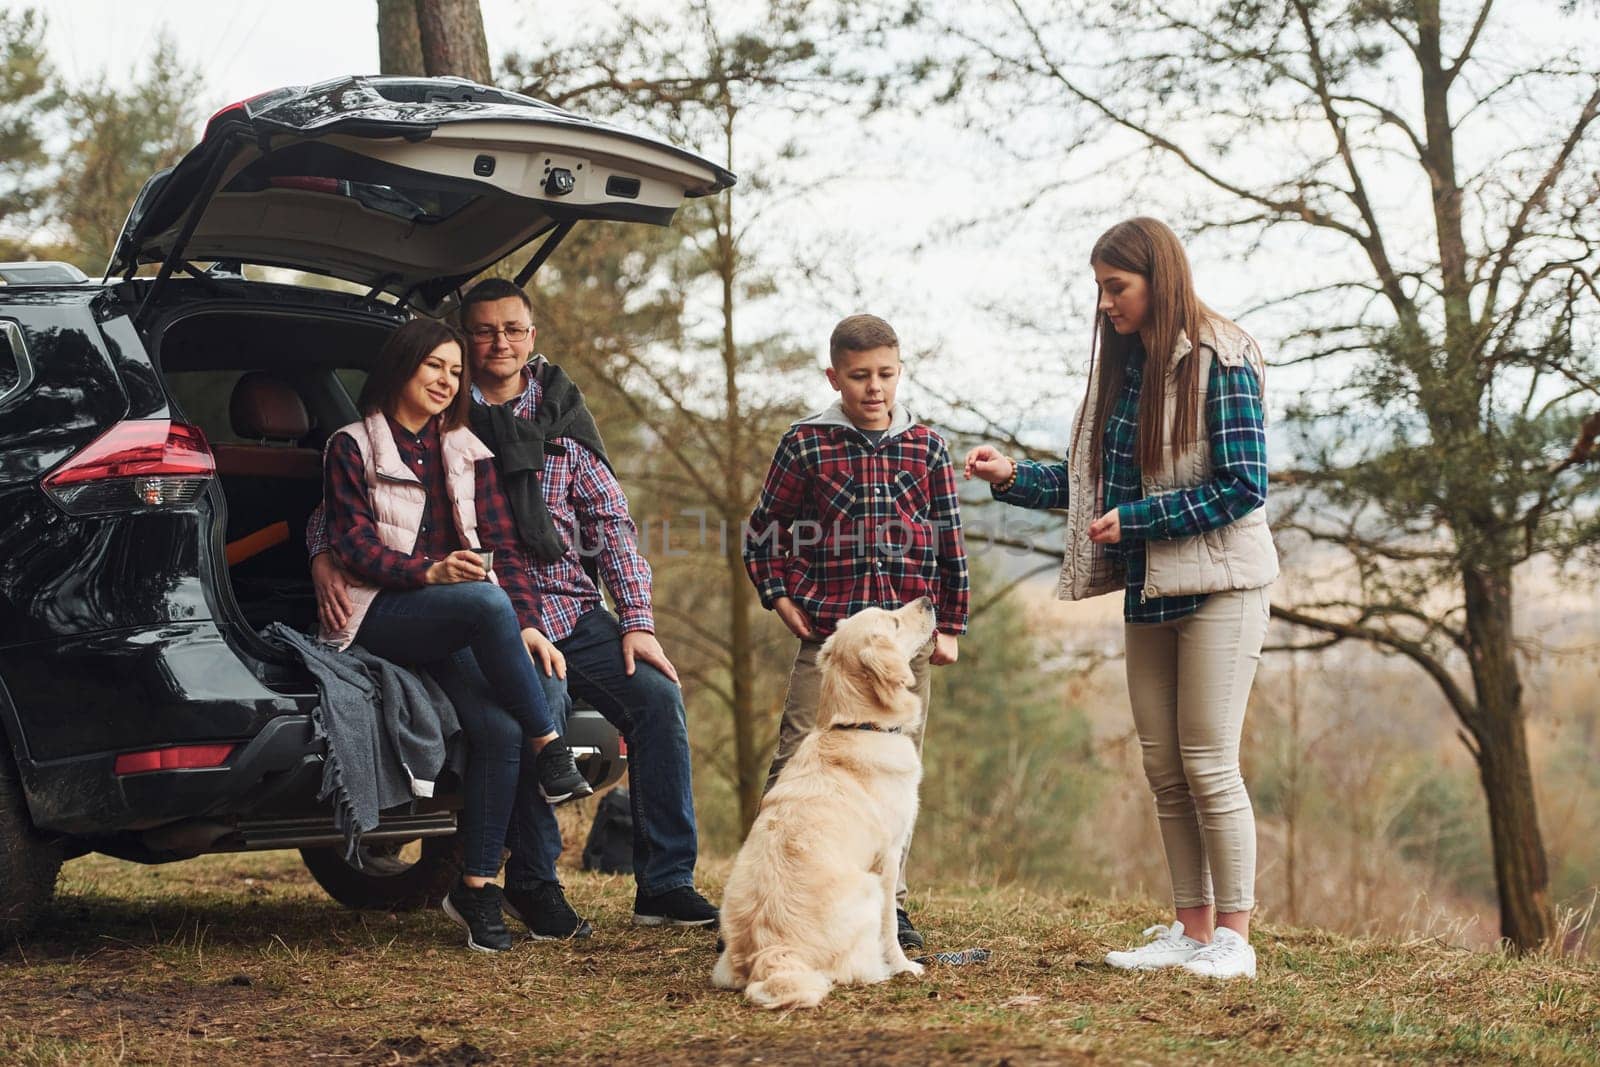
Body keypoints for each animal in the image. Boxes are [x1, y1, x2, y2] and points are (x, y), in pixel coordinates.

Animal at [713, 601, 934, 1011]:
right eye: (894, 621)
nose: (928, 599)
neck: (859, 726)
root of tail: (770, 952)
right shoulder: (889, 856)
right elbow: (890, 926)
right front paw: (904, 965)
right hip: (866, 887)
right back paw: (880, 970)